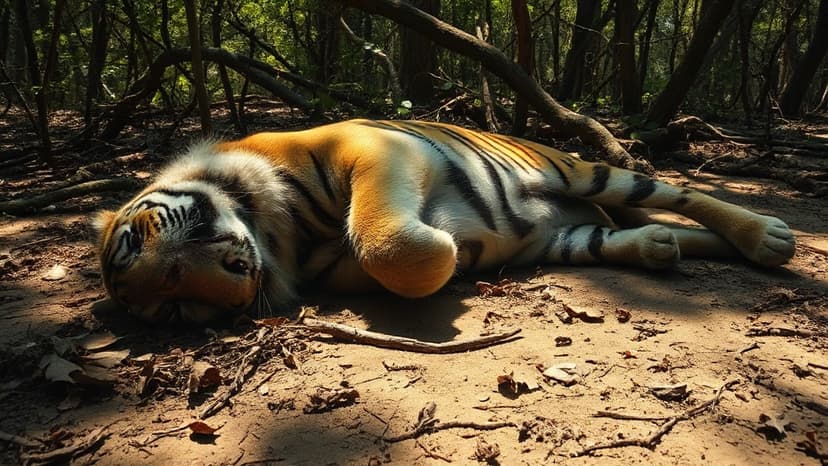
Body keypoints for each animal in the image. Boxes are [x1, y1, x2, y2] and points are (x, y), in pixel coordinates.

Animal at [94, 119, 796, 324]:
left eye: (141, 238)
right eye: (177, 309)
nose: (236, 282)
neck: (280, 239)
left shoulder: (376, 151)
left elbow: (391, 242)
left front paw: (447, 249)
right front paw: (457, 254)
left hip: (585, 170)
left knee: (681, 194)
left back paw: (770, 237)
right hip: (573, 237)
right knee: (647, 229)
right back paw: (660, 247)